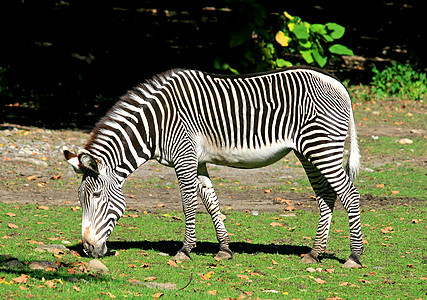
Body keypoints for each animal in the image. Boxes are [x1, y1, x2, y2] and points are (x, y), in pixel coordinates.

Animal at [63, 65, 364, 268]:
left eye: (97, 196)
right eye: (80, 199)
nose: (88, 249)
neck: (155, 124)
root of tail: (338, 84)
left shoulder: (183, 156)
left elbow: (188, 203)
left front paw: (185, 250)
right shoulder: (198, 160)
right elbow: (210, 202)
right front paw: (225, 249)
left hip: (322, 147)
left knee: (350, 195)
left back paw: (354, 256)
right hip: (308, 152)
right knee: (326, 195)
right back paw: (315, 252)